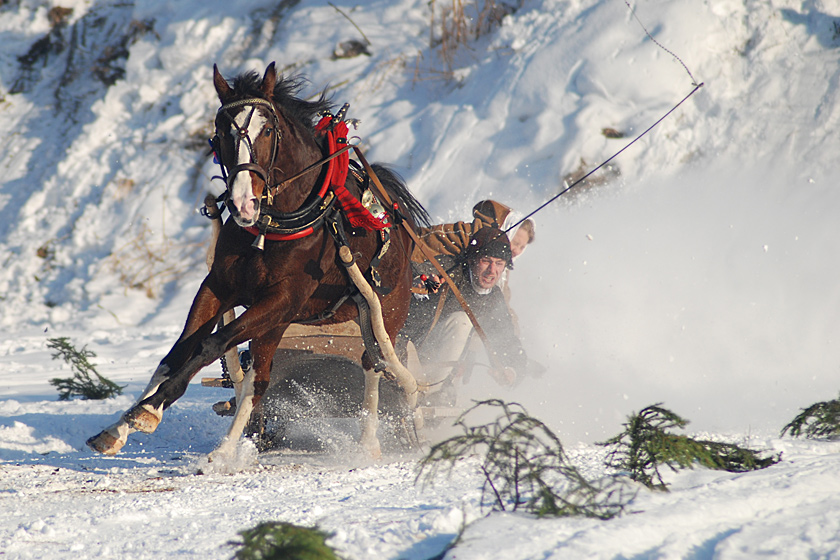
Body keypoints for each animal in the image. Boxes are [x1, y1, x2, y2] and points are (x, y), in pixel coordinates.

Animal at [88, 62, 430, 460]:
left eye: (267, 130)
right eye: (220, 132)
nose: (242, 203)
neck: (273, 225)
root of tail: (400, 226)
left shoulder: (281, 299)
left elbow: (211, 344)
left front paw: (153, 406)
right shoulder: (219, 288)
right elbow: (176, 353)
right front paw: (121, 424)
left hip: (384, 312)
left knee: (375, 364)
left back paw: (370, 440)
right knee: (263, 377)